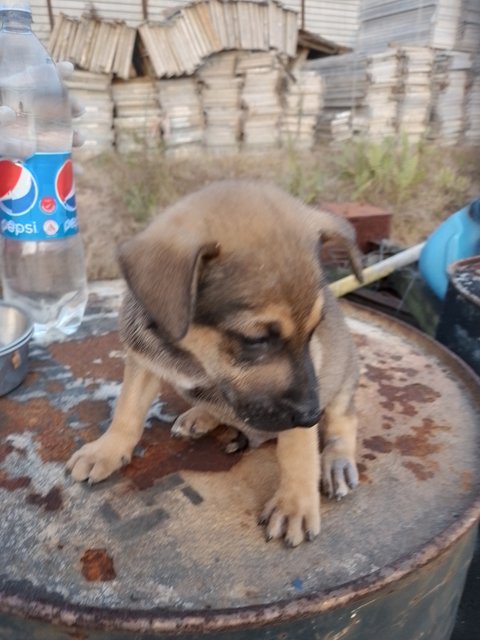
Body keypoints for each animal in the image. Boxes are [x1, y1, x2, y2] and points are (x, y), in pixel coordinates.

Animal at [65, 179, 362, 544]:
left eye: (314, 331)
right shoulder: (143, 360)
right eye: (255, 340)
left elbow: (298, 452)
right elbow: (127, 411)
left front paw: (294, 504)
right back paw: (201, 415)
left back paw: (337, 463)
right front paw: (106, 450)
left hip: (344, 381)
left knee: (343, 423)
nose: (310, 416)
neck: (194, 356)